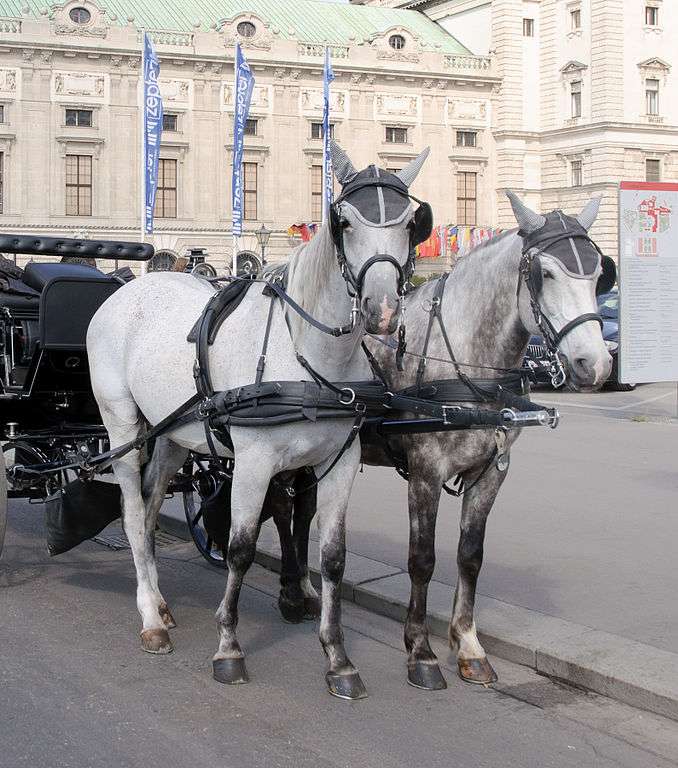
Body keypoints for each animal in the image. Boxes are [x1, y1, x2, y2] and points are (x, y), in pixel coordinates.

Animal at [87, 141, 432, 700]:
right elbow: (240, 549)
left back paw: (158, 601)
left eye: (410, 223)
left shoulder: (339, 464)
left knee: (151, 501)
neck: (310, 357)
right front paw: (228, 648)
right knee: (133, 511)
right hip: (121, 424)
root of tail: (126, 290)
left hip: (172, 434)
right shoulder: (253, 464)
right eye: (344, 222)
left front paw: (337, 658)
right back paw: (150, 620)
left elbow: (332, 557)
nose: (381, 310)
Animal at [274, 190, 612, 688]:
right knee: (283, 512)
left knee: (304, 513)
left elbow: (470, 556)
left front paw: (468, 645)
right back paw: (290, 594)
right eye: (546, 274)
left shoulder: (491, 474)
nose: (596, 364)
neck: (467, 365)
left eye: (597, 272)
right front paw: (420, 651)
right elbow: (423, 559)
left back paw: (304, 587)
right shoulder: (426, 474)